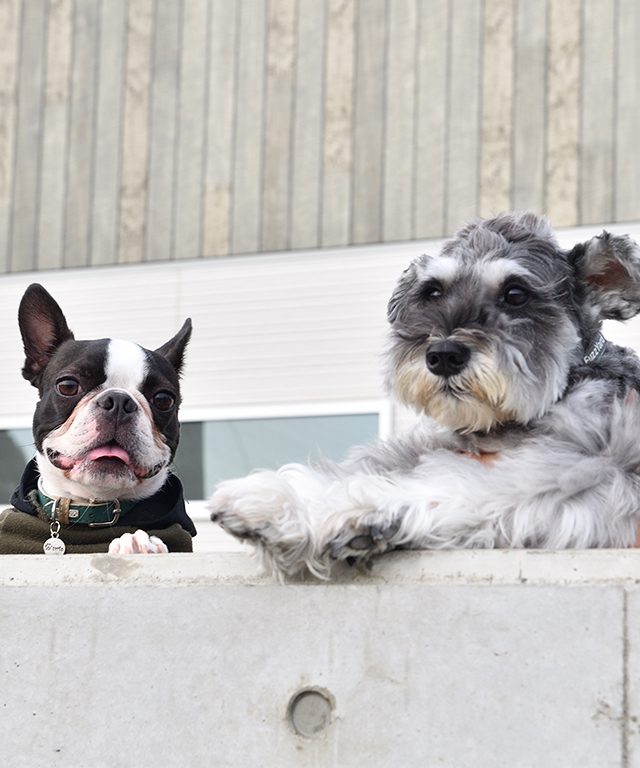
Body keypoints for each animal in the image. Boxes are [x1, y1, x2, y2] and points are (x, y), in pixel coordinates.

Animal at [210, 210, 640, 576]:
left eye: (516, 294)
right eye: (432, 292)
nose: (443, 356)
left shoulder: (598, 465)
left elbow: (476, 483)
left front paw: (364, 510)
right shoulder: (430, 444)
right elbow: (363, 467)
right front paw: (275, 501)